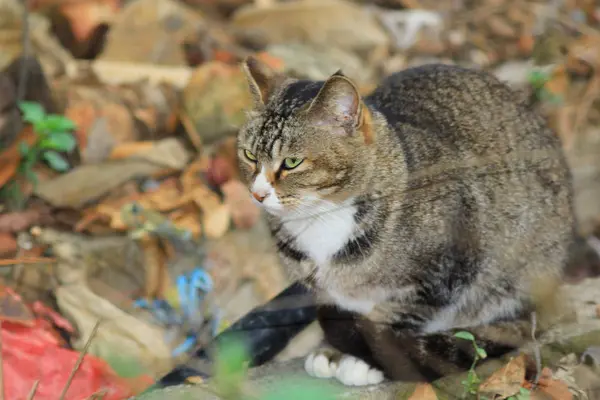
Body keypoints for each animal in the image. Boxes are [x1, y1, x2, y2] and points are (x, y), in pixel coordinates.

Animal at [237, 55, 576, 384]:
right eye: (249, 156)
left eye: (292, 162)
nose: (257, 193)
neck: (322, 220)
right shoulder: (328, 291)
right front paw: (334, 349)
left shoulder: (440, 270)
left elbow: (393, 318)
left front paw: (370, 358)